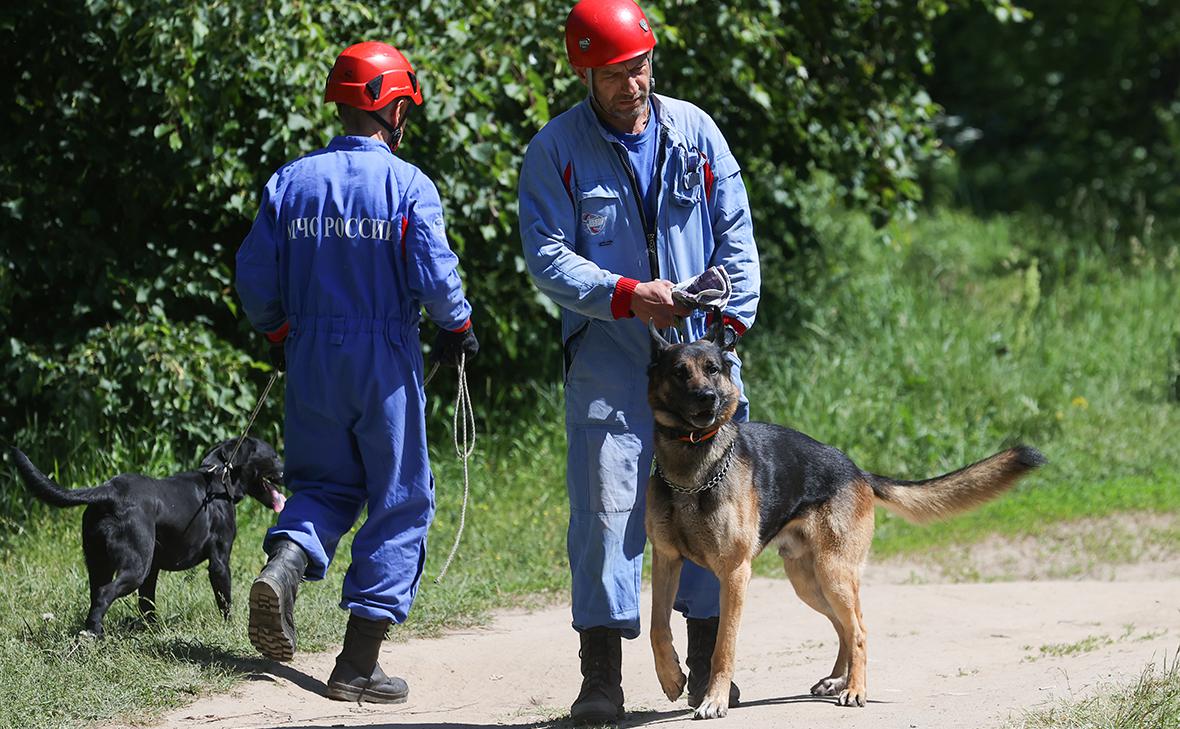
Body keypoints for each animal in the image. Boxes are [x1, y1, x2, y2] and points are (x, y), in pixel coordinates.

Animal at [646, 320, 1043, 717]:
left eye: (713, 369)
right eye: (680, 372)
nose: (706, 398)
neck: (692, 469)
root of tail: (858, 472)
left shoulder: (734, 574)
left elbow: (723, 646)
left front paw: (714, 699)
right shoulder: (666, 561)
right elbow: (657, 626)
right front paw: (670, 677)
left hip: (833, 573)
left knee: (859, 630)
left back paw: (855, 689)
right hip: (809, 580)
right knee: (843, 627)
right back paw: (839, 679)